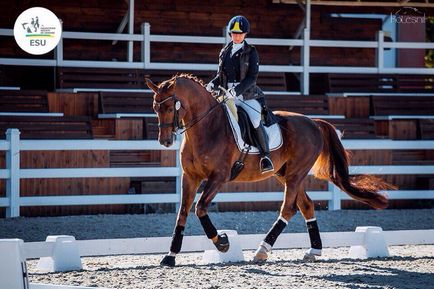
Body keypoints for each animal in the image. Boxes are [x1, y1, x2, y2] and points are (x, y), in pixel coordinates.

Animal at [145, 73, 394, 266]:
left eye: (170, 107)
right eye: (155, 107)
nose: (165, 141)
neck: (207, 127)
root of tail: (313, 122)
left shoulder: (219, 177)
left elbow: (200, 208)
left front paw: (222, 242)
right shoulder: (190, 177)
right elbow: (183, 212)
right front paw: (170, 256)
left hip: (295, 174)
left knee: (288, 209)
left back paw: (262, 250)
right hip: (286, 175)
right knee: (306, 205)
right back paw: (313, 251)